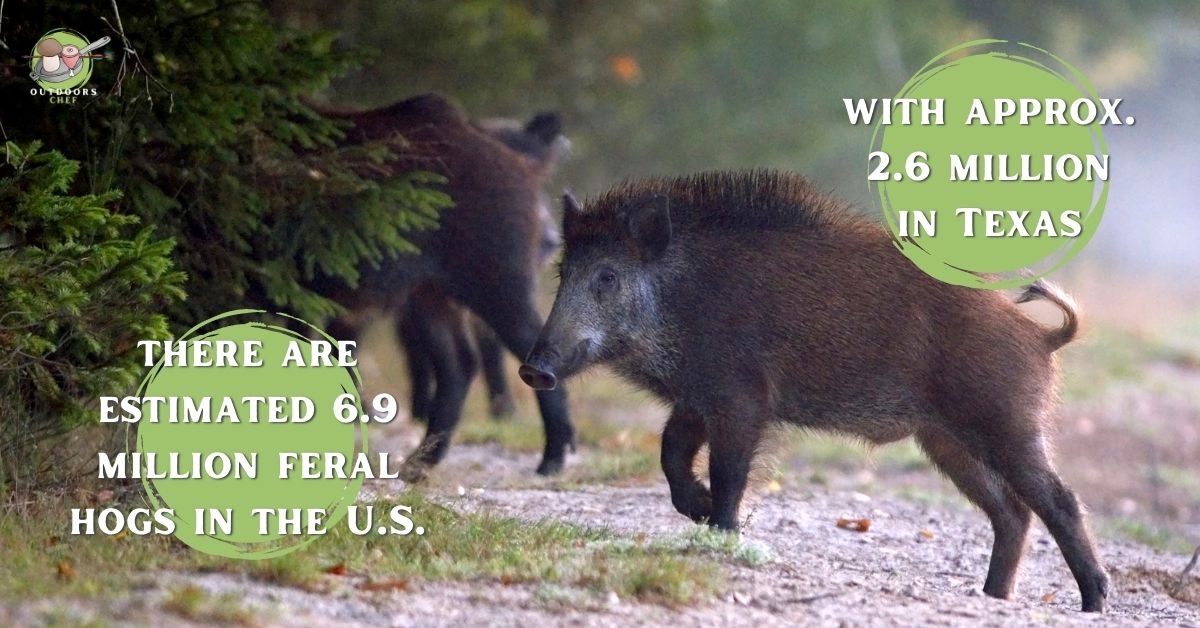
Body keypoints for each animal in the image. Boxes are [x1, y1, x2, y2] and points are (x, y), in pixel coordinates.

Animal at [521, 170, 1109, 612]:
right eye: (564, 272)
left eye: (607, 277)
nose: (534, 369)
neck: (680, 300)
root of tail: (1042, 338)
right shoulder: (696, 398)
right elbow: (671, 455)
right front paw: (702, 511)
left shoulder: (741, 397)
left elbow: (729, 471)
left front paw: (723, 532)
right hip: (947, 442)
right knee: (1012, 513)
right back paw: (991, 597)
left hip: (1005, 421)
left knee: (1058, 499)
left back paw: (1092, 601)